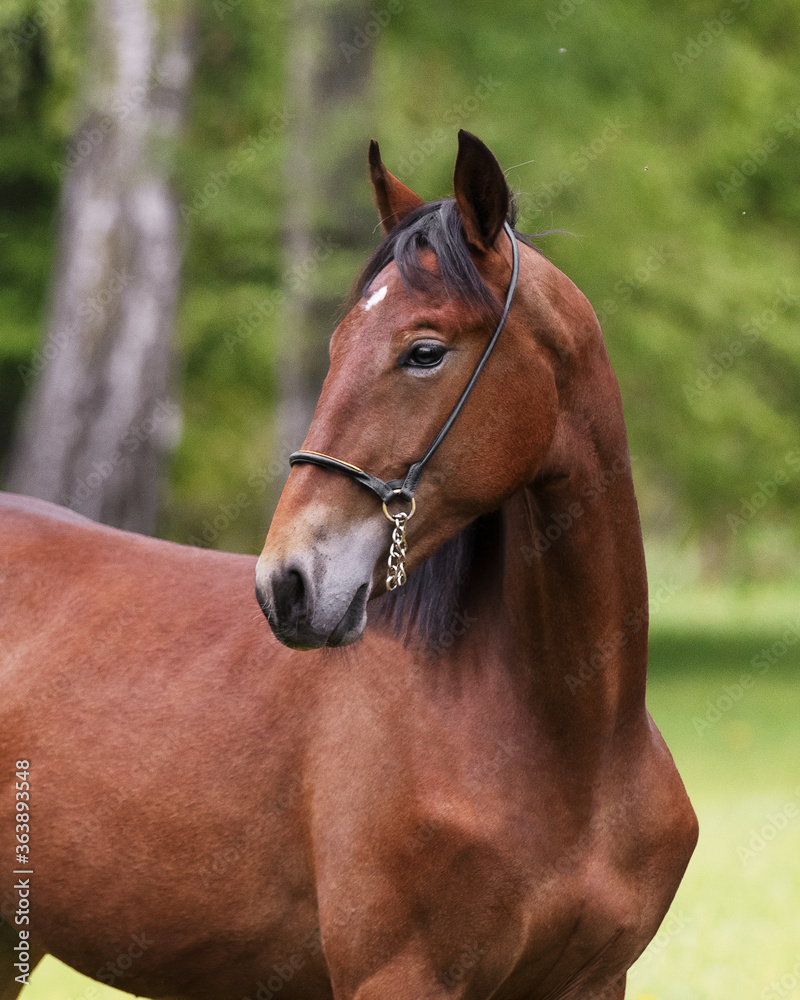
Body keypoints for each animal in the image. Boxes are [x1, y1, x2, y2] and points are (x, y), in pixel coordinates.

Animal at [0, 130, 697, 1000]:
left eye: (424, 352)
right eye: (336, 346)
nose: (287, 585)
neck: (573, 747)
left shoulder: (593, 982)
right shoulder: (399, 977)